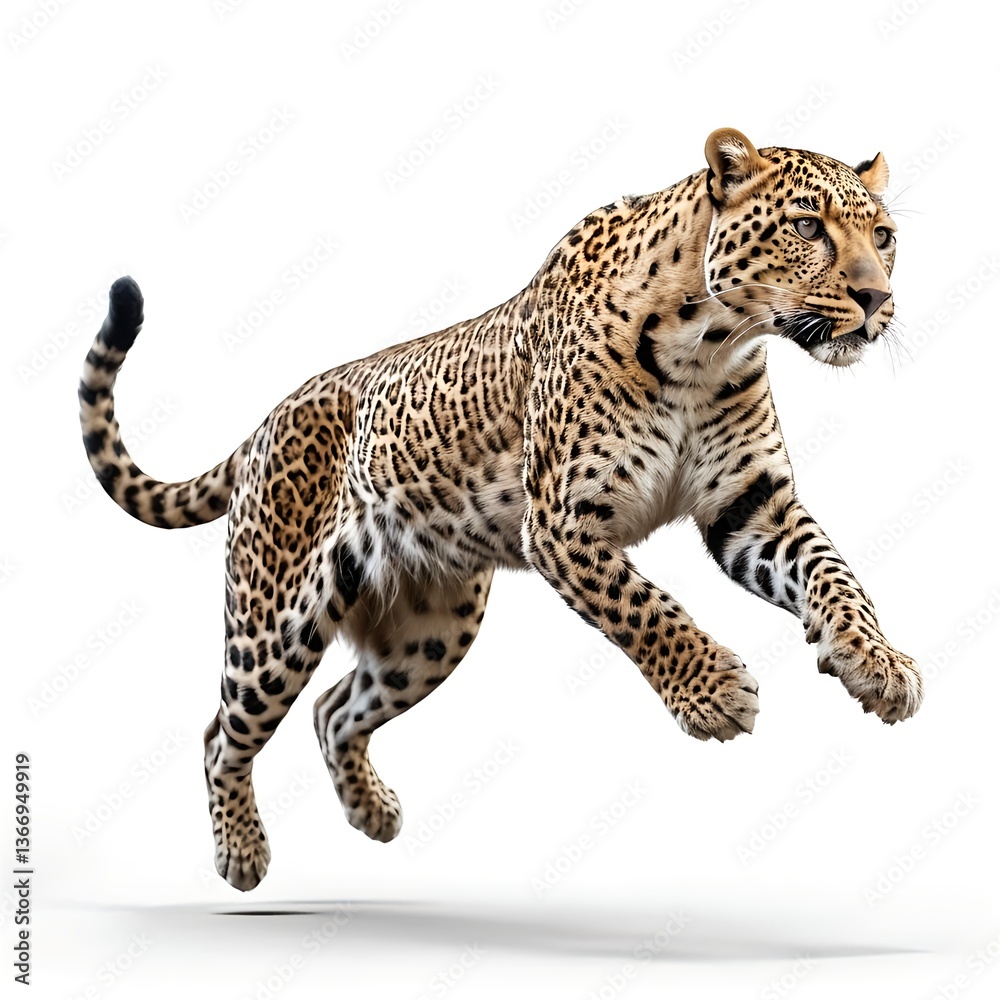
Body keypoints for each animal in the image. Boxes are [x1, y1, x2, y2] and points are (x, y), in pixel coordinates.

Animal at [79, 128, 923, 891]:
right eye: (808, 227)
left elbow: (835, 575)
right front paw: (713, 692)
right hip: (275, 619)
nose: (876, 298)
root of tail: (262, 426)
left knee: (333, 709)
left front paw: (877, 663)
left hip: (430, 633)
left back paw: (373, 813)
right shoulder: (563, 522)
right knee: (222, 732)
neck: (713, 343)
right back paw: (242, 855)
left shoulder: (752, 507)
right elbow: (645, 607)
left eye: (883, 237)